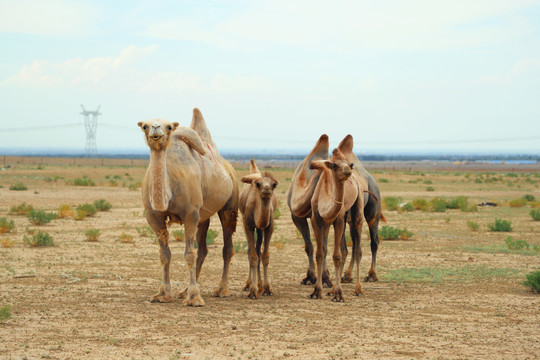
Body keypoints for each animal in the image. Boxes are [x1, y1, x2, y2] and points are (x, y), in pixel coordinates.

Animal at [136, 107, 237, 306]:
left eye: (169, 127)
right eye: (145, 126)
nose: (156, 129)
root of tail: (228, 167)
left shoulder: (190, 213)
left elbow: (189, 254)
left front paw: (194, 298)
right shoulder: (153, 216)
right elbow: (164, 254)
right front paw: (162, 294)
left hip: (230, 204)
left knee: (227, 247)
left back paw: (222, 290)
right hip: (203, 216)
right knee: (203, 249)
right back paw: (183, 291)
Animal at [238, 160, 278, 298]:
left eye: (274, 184)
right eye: (259, 184)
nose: (266, 189)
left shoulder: (269, 227)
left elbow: (265, 256)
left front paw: (266, 288)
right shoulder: (248, 225)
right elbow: (253, 256)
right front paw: (253, 291)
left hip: (260, 230)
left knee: (258, 250)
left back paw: (260, 286)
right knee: (251, 251)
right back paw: (248, 284)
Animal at [286, 134, 334, 288]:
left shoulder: (326, 219)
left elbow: (324, 247)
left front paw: (325, 278)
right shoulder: (296, 217)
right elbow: (309, 247)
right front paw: (310, 277)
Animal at [306, 148, 360, 302]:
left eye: (350, 164)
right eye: (334, 166)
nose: (348, 170)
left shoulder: (339, 219)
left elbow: (337, 256)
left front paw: (339, 294)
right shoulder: (317, 220)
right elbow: (320, 253)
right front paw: (316, 291)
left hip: (356, 209)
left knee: (357, 250)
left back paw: (357, 289)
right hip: (329, 223)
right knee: (337, 250)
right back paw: (331, 289)